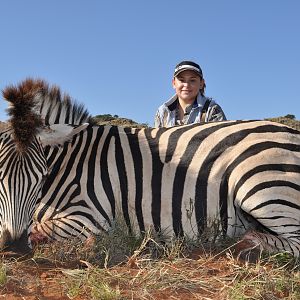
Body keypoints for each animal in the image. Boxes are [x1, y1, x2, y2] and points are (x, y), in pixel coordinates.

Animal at [1, 77, 300, 258]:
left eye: (41, 176)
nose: (14, 247)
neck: (73, 160)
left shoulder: (91, 218)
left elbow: (40, 228)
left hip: (261, 185)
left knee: (294, 243)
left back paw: (244, 244)